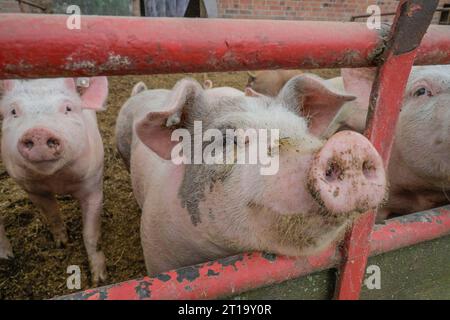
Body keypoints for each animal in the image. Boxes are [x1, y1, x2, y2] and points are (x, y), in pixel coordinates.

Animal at [0, 77, 108, 284]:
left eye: (68, 108)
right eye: (13, 111)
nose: (38, 132)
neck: (56, 180)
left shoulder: (93, 184)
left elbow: (91, 234)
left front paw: (100, 279)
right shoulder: (32, 189)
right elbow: (52, 215)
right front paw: (62, 243)